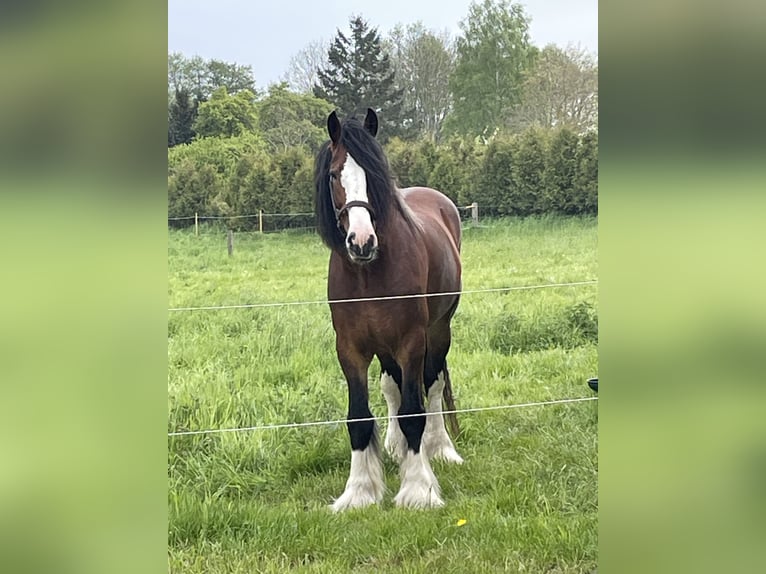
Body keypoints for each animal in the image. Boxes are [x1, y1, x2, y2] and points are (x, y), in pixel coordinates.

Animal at [316, 109, 464, 512]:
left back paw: (440, 449)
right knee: (392, 386)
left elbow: (415, 410)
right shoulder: (350, 348)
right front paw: (359, 491)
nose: (361, 242)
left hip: (438, 331)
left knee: (432, 385)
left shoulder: (411, 342)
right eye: (334, 175)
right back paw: (397, 447)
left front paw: (418, 490)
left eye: (375, 173)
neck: (369, 274)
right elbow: (359, 417)